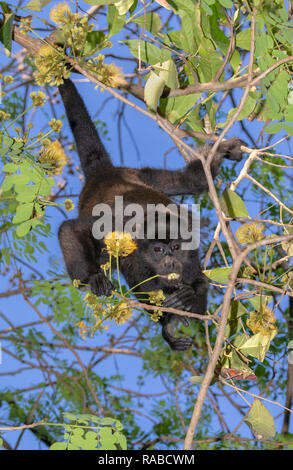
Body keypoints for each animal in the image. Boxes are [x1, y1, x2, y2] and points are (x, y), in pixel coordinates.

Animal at [57, 79, 244, 352]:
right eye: (158, 250)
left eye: (176, 247)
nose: (170, 262)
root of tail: (105, 173)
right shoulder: (119, 230)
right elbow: (70, 229)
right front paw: (92, 279)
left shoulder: (190, 249)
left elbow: (199, 283)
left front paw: (189, 294)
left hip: (143, 176)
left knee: (193, 181)